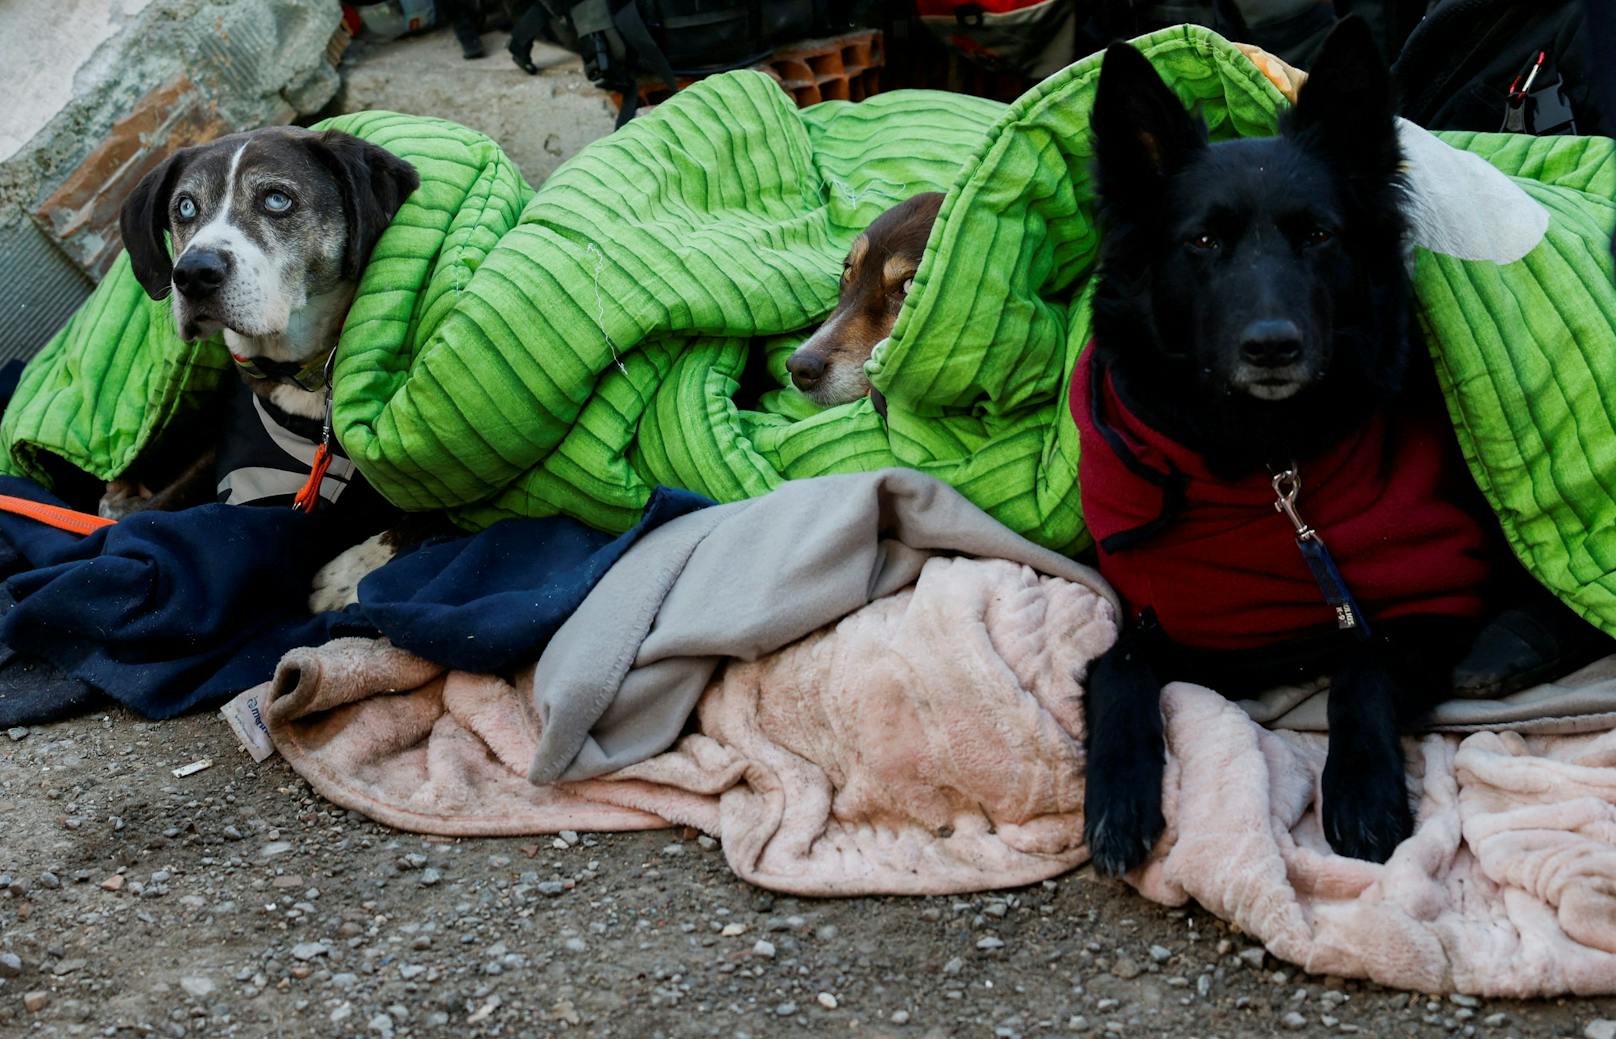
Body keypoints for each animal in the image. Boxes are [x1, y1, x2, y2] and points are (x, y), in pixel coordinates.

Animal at [1073, 18, 1603, 879]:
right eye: (1204, 240)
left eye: (1318, 234)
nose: (1272, 347)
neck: (1269, 464)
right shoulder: (1180, 624)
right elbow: (1116, 669)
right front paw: (1118, 797)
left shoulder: (1432, 599)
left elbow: (1363, 665)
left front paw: (1361, 791)